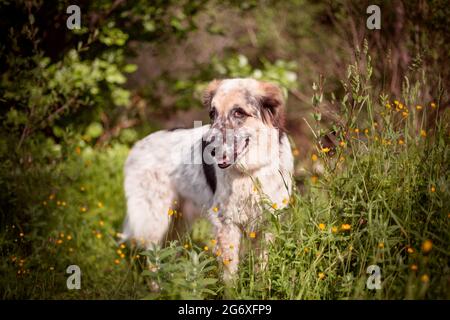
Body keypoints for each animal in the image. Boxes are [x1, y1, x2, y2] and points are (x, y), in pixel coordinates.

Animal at [121, 79, 294, 282]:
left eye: (238, 112)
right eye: (213, 114)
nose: (207, 145)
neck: (251, 171)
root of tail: (137, 146)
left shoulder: (269, 221)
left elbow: (262, 266)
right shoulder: (226, 222)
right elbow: (229, 271)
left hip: (178, 221)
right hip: (155, 219)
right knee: (152, 258)